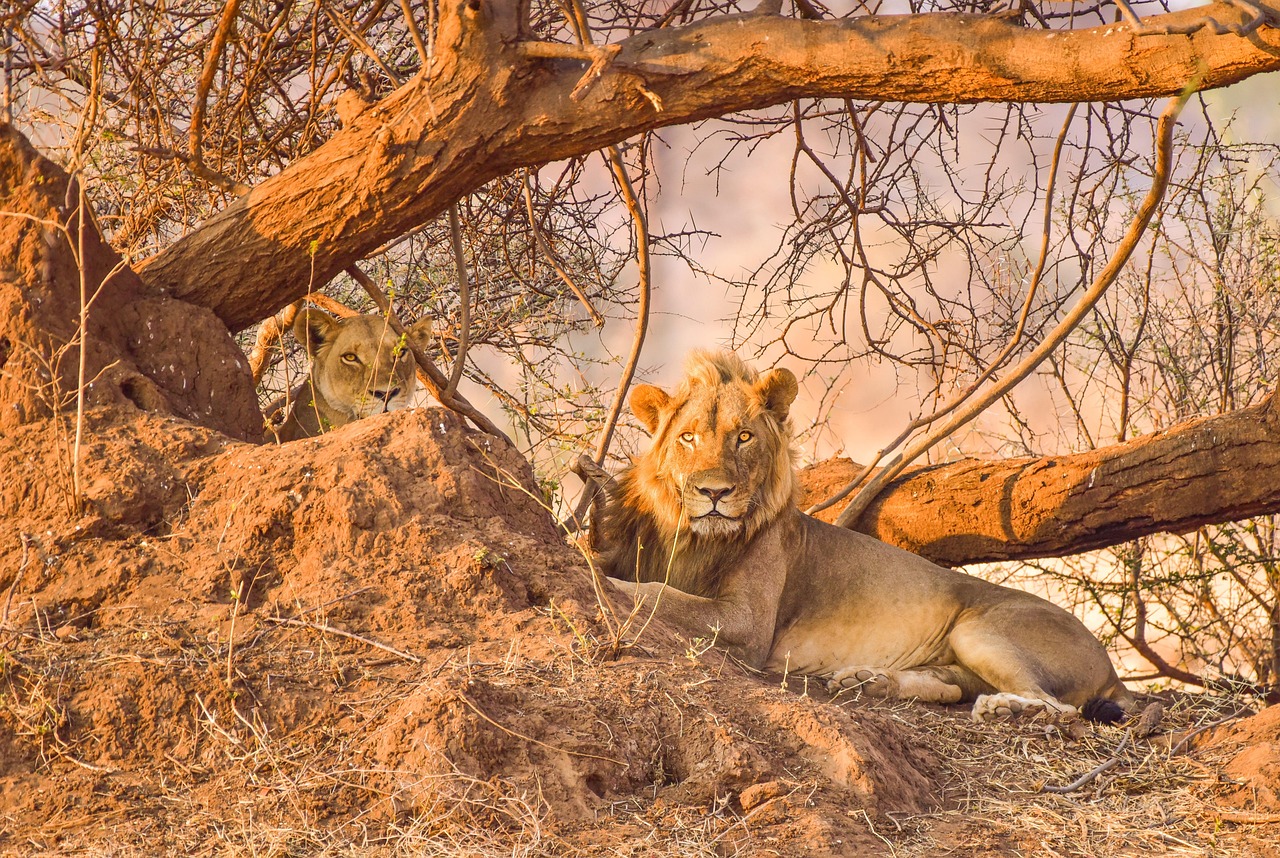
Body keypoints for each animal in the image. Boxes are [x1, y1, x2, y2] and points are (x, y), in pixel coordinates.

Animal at [604, 348, 1136, 717]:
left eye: (744, 437)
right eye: (687, 438)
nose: (714, 492)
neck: (696, 538)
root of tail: (1110, 665)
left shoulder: (748, 623)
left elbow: (659, 594)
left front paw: (604, 581)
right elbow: (661, 587)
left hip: (980, 629)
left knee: (1057, 706)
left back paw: (1003, 707)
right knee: (948, 686)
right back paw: (867, 681)